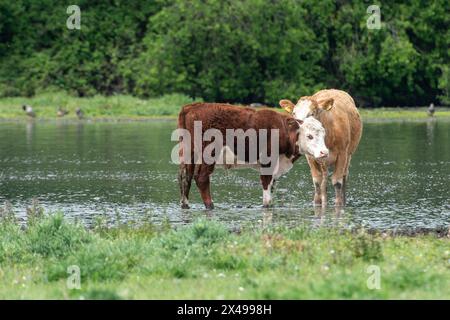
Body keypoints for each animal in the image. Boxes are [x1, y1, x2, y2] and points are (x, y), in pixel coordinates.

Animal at [175, 101, 326, 209]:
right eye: (310, 136)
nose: (324, 152)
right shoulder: (268, 161)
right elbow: (266, 189)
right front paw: (266, 205)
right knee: (201, 178)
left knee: (185, 177)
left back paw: (185, 205)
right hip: (209, 153)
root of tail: (191, 107)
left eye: (324, 135)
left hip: (188, 152)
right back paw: (210, 205)